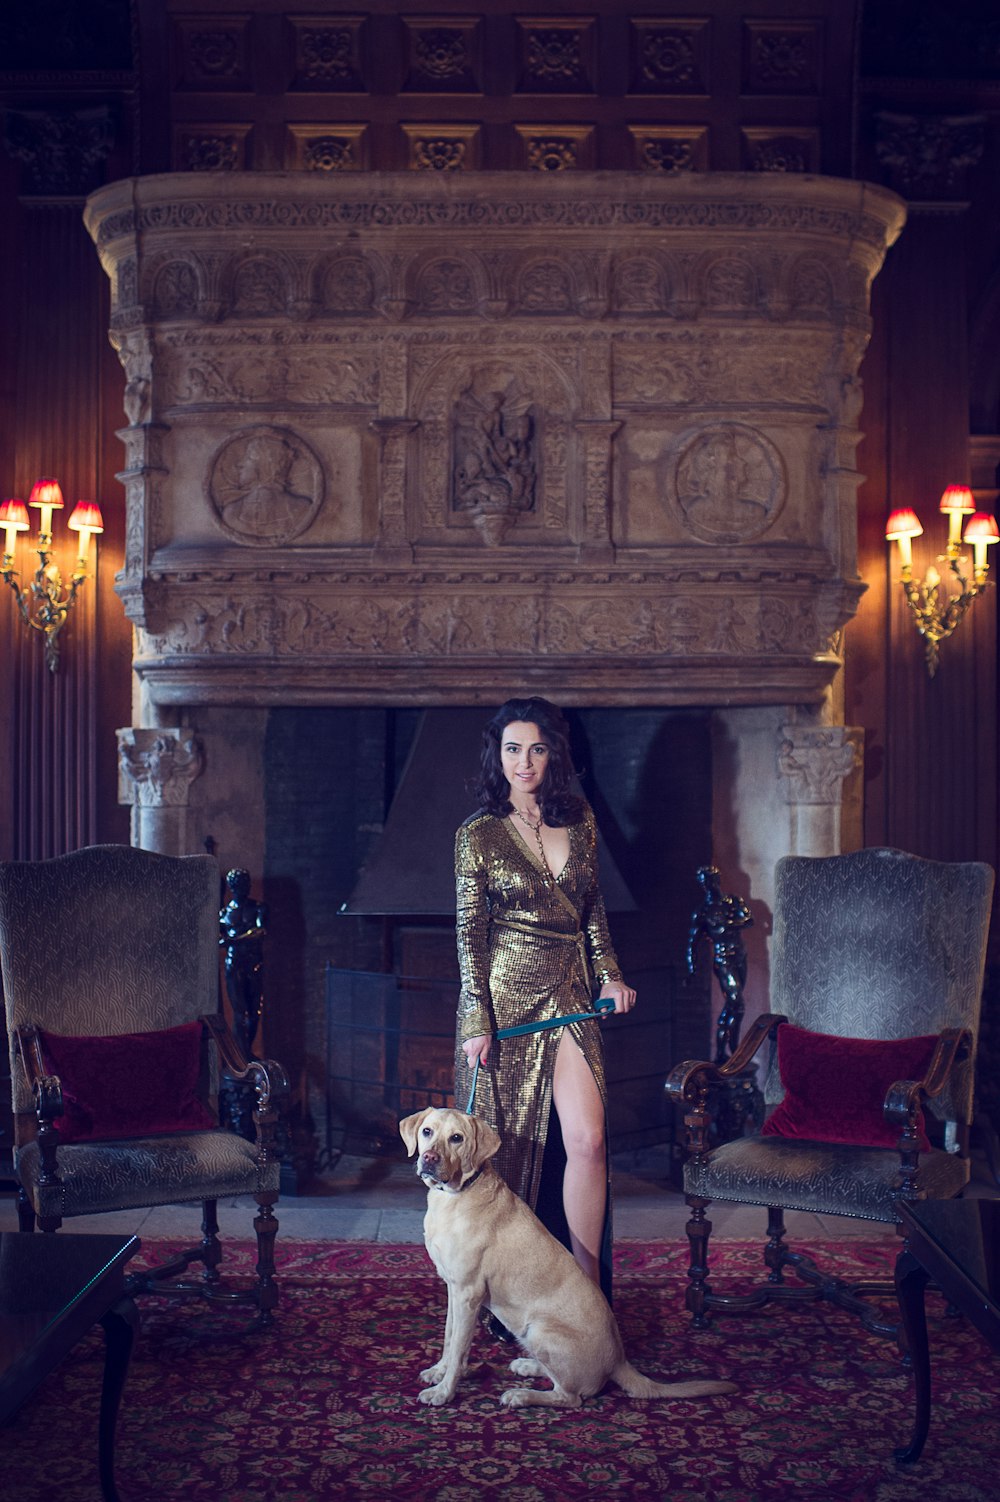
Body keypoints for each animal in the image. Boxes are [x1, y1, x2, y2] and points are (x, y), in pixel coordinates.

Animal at [396, 1105, 732, 1405]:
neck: (456, 1194)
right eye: (427, 1132)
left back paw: (521, 1396)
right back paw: (528, 1366)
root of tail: (619, 1359)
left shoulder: (469, 1293)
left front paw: (444, 1393)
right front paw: (438, 1373)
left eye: (457, 1138)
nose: (429, 1158)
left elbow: (459, 1350)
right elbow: (449, 1337)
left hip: (540, 1329)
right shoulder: (454, 1289)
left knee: (570, 1398)